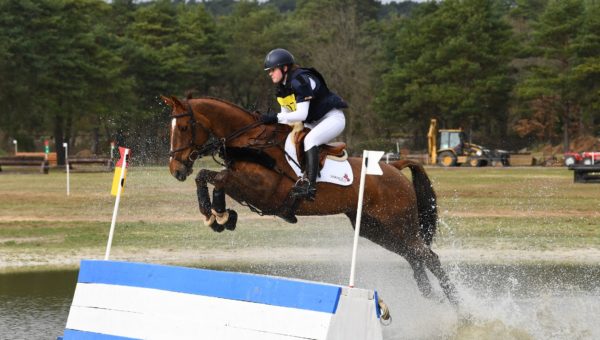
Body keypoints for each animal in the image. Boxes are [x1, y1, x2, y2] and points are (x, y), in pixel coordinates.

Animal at [162, 94, 458, 304]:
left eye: (185, 127)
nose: (176, 170)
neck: (249, 140)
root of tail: (394, 167)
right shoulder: (240, 182)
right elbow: (210, 178)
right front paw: (221, 216)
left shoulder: (262, 191)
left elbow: (212, 176)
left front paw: (216, 214)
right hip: (375, 229)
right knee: (413, 255)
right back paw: (430, 294)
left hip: (397, 224)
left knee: (429, 256)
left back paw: (458, 308)